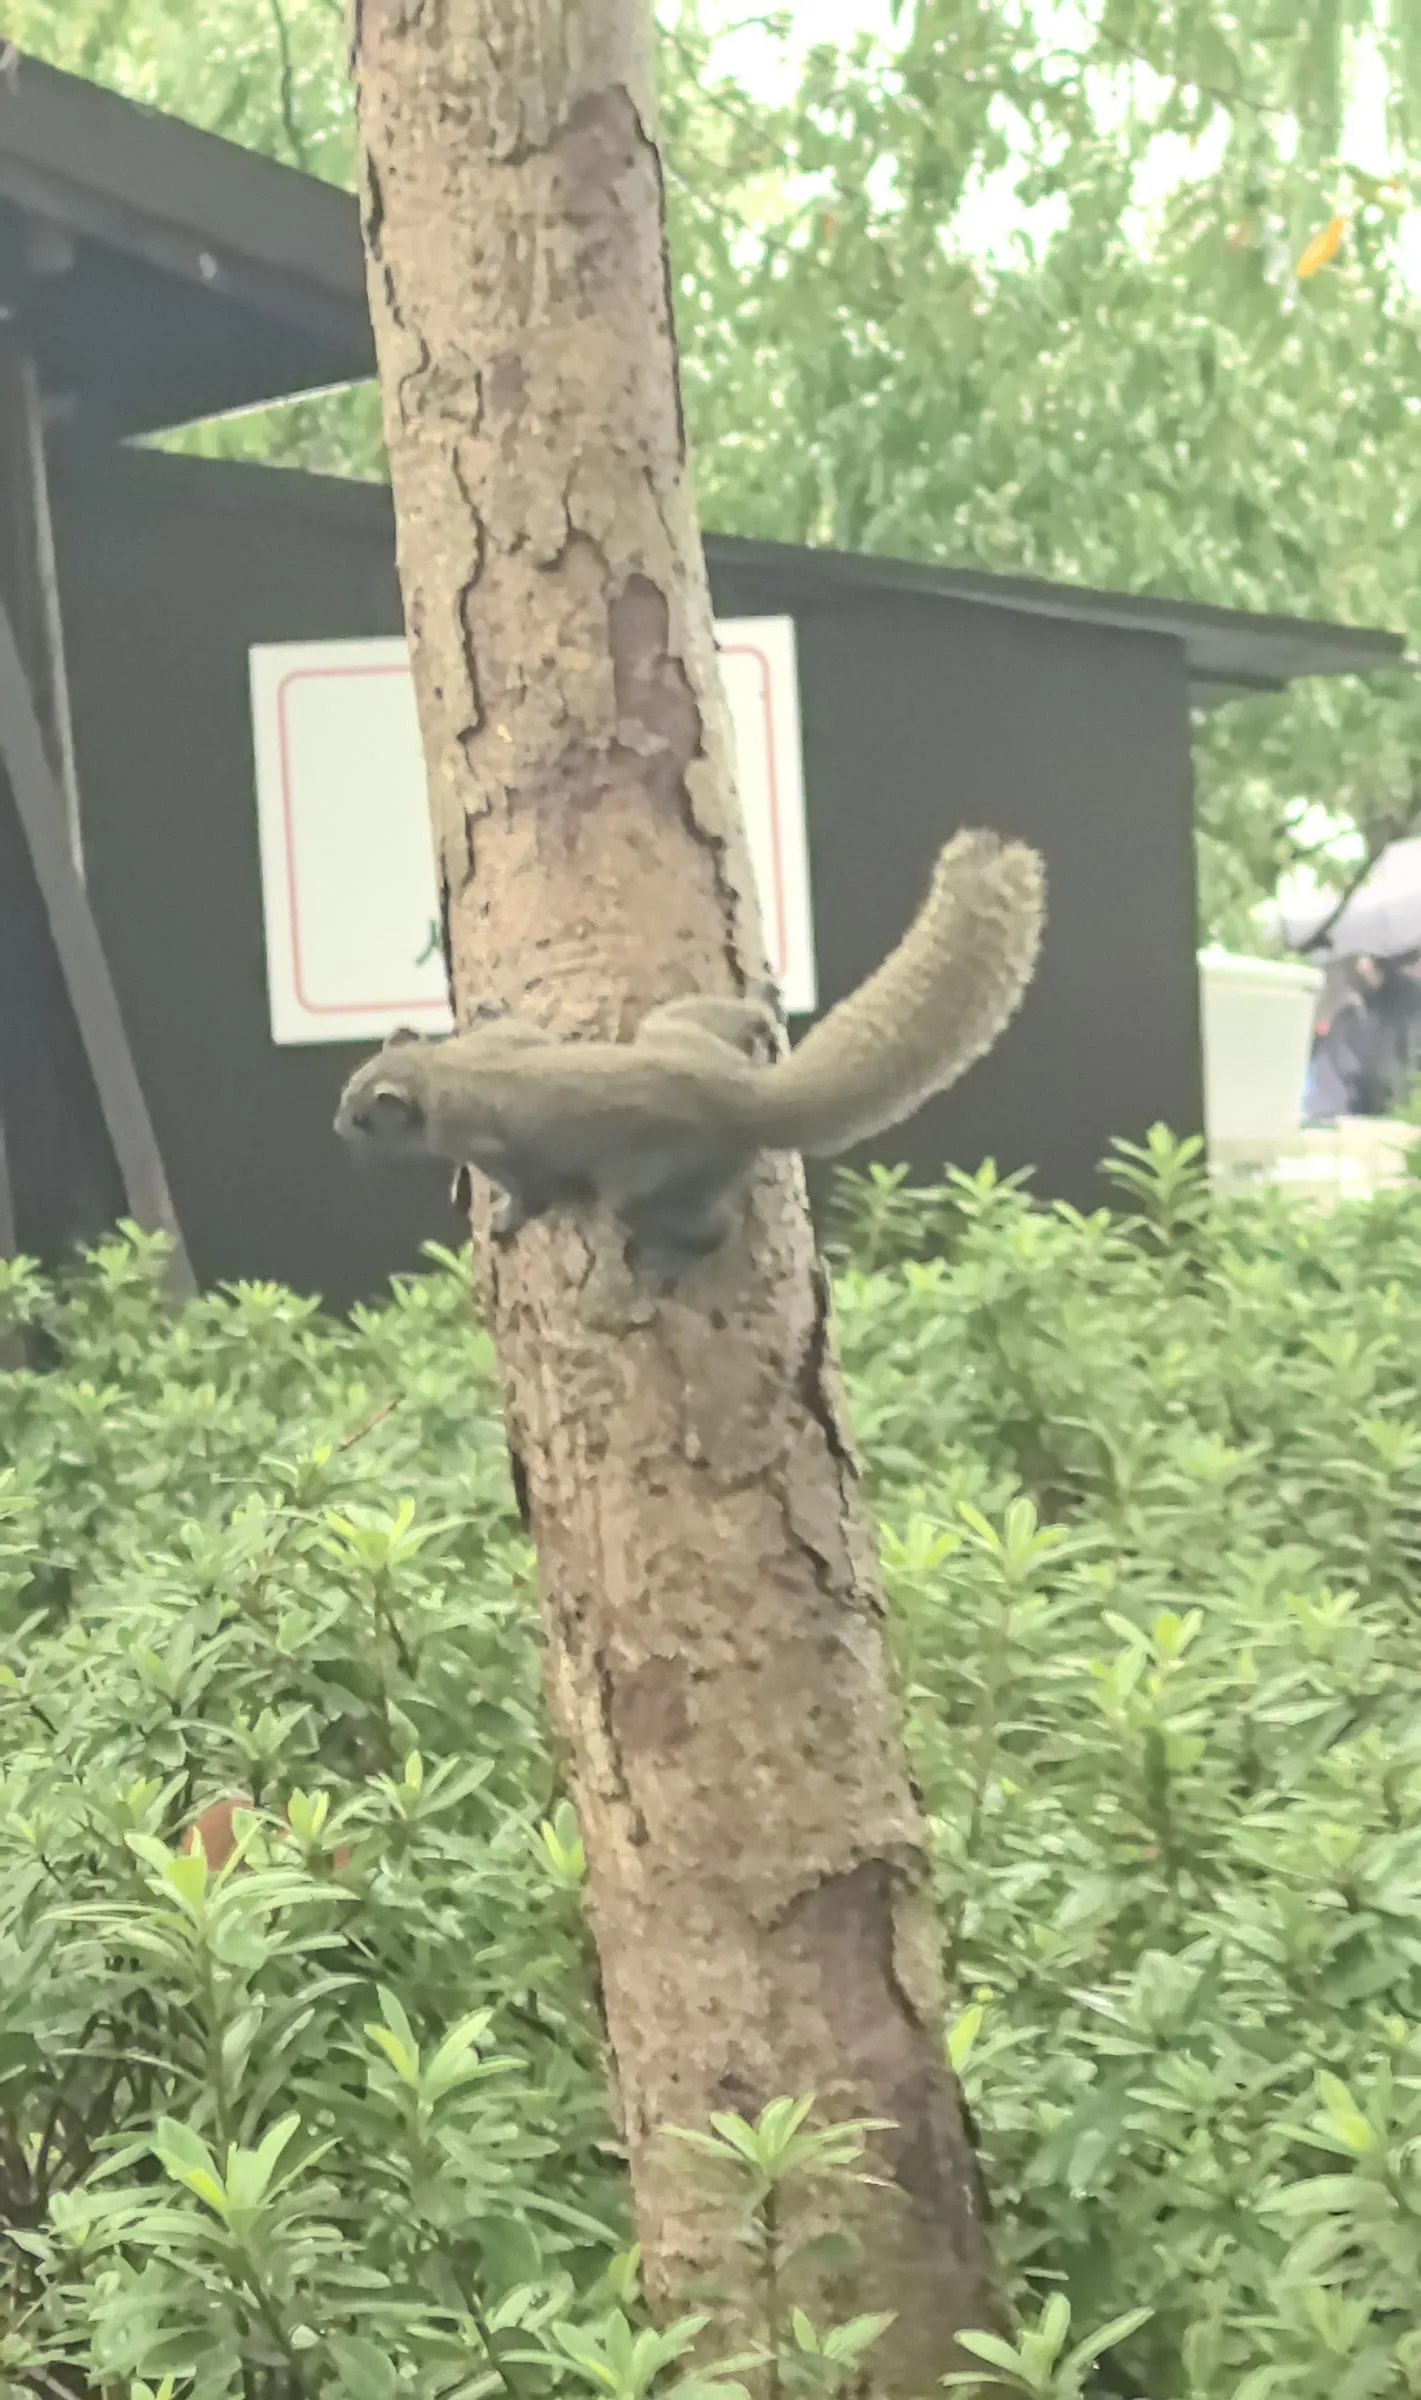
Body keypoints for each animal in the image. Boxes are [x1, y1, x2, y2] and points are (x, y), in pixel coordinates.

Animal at [334, 827, 1045, 1278]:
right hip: (674, 1026)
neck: (441, 1072)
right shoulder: (508, 1047)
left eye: (366, 1116)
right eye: (349, 1088)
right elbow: (518, 1028)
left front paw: (506, 1221)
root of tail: (750, 1100)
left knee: (708, 1228)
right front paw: (491, 1007)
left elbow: (529, 1191)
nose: (337, 1126)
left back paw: (673, 1262)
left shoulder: (494, 1145)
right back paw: (761, 1000)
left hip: (649, 1183)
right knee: (744, 1019)